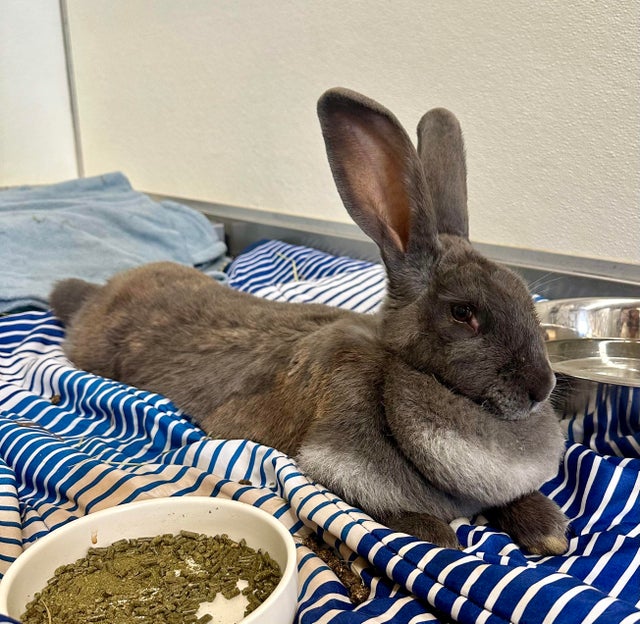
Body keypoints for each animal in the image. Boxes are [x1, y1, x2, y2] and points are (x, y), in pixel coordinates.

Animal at [49, 87, 568, 554]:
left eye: (525, 296)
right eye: (463, 313)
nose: (541, 387)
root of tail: (100, 294)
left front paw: (549, 533)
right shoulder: (332, 464)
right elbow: (400, 516)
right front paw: (441, 534)